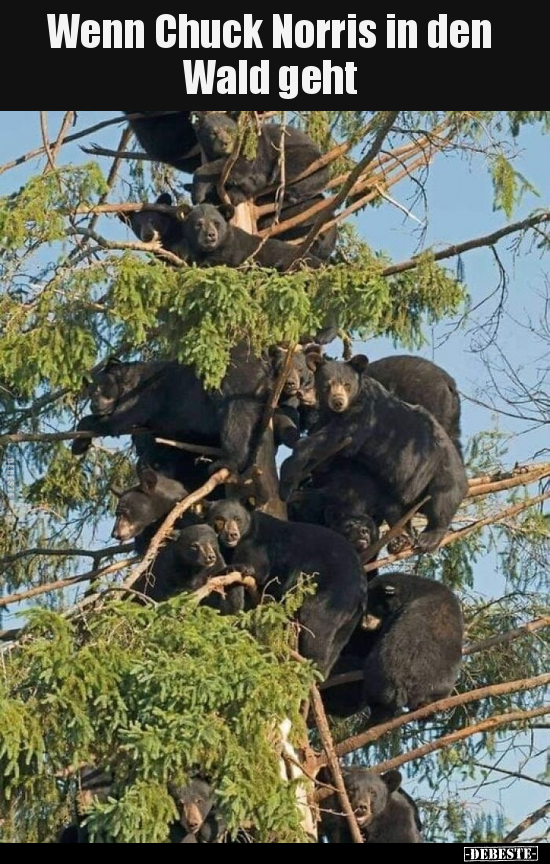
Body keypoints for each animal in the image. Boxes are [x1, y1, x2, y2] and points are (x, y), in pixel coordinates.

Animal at [193, 113, 330, 206]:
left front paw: (198, 193)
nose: (225, 142)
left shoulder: (252, 146)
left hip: (304, 156)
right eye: (213, 133)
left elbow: (241, 165)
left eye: (229, 130)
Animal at [205, 500, 368, 676]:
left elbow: (257, 569)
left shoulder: (257, 545)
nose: (232, 535)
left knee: (317, 627)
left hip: (332, 594)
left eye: (238, 519)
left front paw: (237, 568)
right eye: (219, 519)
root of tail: (362, 586)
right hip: (351, 617)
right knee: (336, 644)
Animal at [282, 356, 468, 552]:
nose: (300, 392)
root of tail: (450, 383)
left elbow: (337, 439)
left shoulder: (364, 415)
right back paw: (400, 538)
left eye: (346, 384)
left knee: (443, 497)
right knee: (394, 510)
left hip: (438, 466)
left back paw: (428, 537)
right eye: (325, 384)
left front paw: (292, 472)